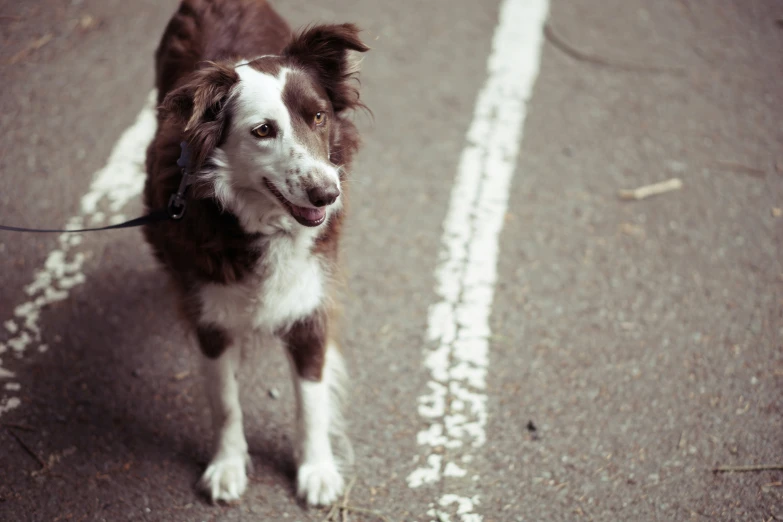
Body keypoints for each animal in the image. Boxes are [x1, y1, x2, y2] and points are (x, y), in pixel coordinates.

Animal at [142, 0, 370, 504]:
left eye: (319, 117)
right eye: (263, 130)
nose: (327, 194)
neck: (264, 226)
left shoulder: (310, 305)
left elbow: (311, 400)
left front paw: (316, 468)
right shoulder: (210, 318)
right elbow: (225, 402)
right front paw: (227, 465)